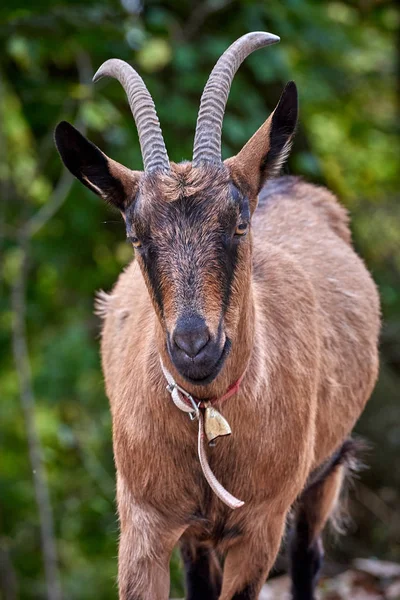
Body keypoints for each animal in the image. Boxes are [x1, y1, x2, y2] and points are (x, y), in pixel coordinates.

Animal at [54, 31, 380, 600]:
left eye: (239, 223)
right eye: (136, 236)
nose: (194, 347)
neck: (210, 420)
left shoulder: (260, 527)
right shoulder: (145, 522)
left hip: (326, 469)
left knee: (308, 557)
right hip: (198, 533)